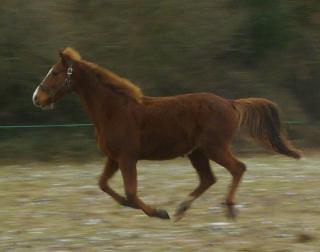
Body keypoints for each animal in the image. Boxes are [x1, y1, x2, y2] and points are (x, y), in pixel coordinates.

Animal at [32, 47, 300, 220]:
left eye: (55, 73)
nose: (37, 98)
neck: (114, 110)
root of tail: (230, 103)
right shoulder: (114, 158)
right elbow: (103, 184)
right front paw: (131, 206)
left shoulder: (127, 157)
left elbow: (130, 191)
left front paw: (159, 212)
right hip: (197, 152)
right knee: (208, 179)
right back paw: (182, 209)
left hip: (215, 147)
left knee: (237, 169)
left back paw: (229, 208)